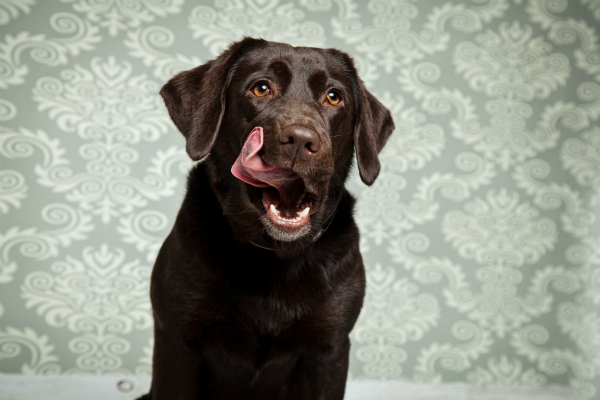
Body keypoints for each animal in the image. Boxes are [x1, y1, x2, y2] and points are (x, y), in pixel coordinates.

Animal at [139, 38, 394, 400]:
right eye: (261, 88)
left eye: (334, 96)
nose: (301, 140)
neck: (271, 257)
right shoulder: (177, 342)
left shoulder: (328, 350)